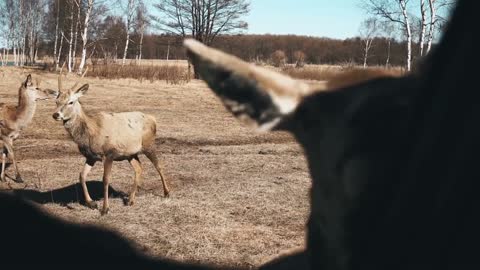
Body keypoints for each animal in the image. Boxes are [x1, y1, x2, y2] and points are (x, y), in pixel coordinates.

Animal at [50, 69, 170, 215]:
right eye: (56, 101)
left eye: (71, 102)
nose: (56, 115)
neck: (92, 132)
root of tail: (153, 119)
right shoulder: (91, 156)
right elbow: (81, 175)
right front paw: (91, 203)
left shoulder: (109, 153)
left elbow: (106, 179)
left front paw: (105, 208)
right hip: (130, 154)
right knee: (139, 168)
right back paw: (130, 200)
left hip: (149, 144)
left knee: (159, 166)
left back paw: (166, 193)